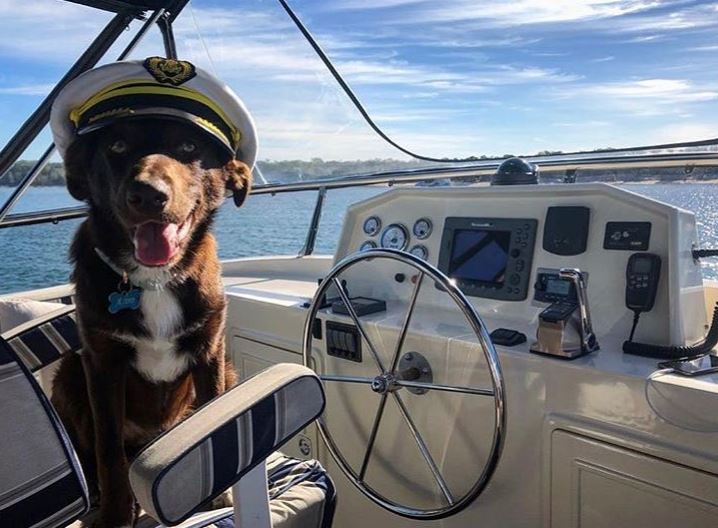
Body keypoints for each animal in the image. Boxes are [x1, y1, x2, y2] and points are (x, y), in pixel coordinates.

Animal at [52, 119, 252, 528]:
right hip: (69, 372)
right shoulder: (102, 363)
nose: (147, 196)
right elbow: (108, 449)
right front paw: (115, 514)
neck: (154, 280)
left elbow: (214, 416)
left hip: (228, 369)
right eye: (116, 145)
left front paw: (217, 493)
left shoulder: (210, 351)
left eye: (190, 145)